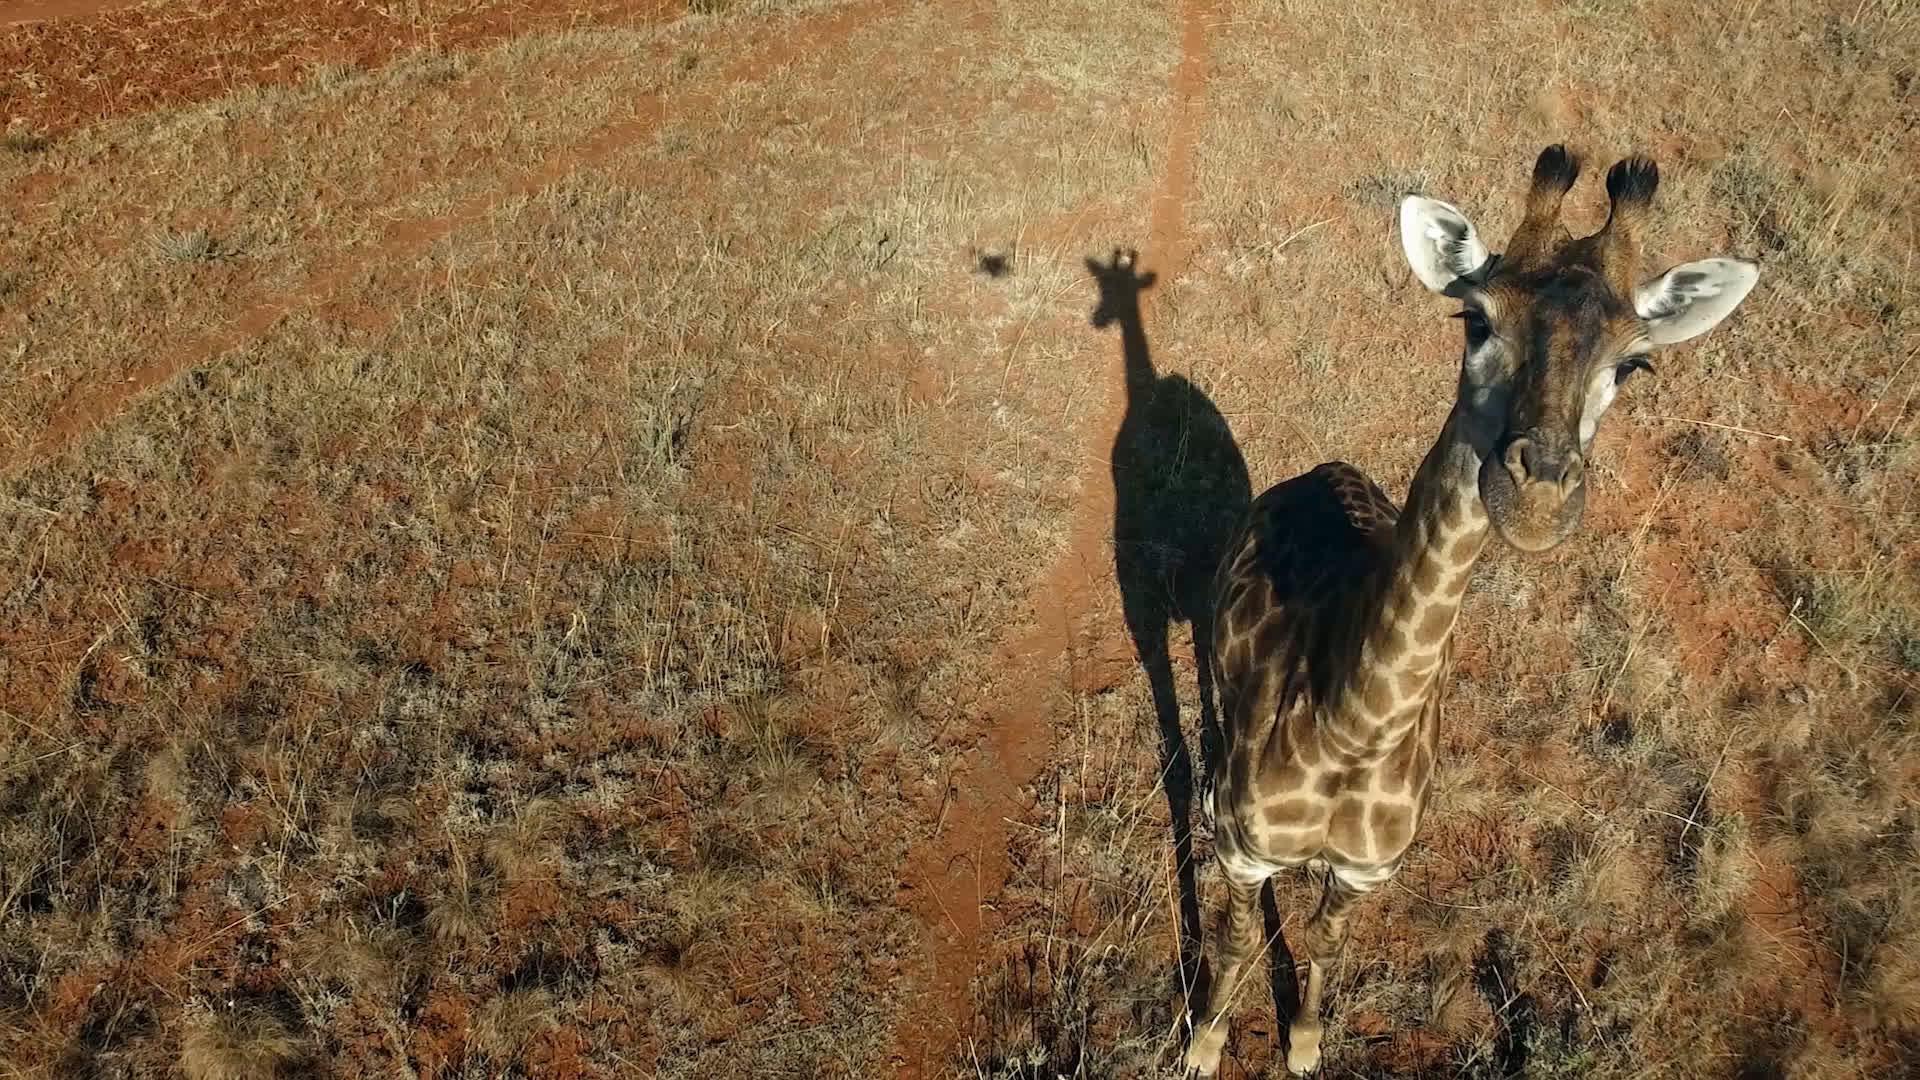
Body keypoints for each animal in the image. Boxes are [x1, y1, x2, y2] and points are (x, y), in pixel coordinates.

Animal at [1180, 145, 1760, 1077]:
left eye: (1633, 364)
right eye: (1475, 320)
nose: (1538, 500)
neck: (1350, 730)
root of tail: (1322, 468)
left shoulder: (1367, 870)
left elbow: (1326, 943)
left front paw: (1303, 1047)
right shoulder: (1246, 851)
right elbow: (1235, 938)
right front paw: (1201, 1046)